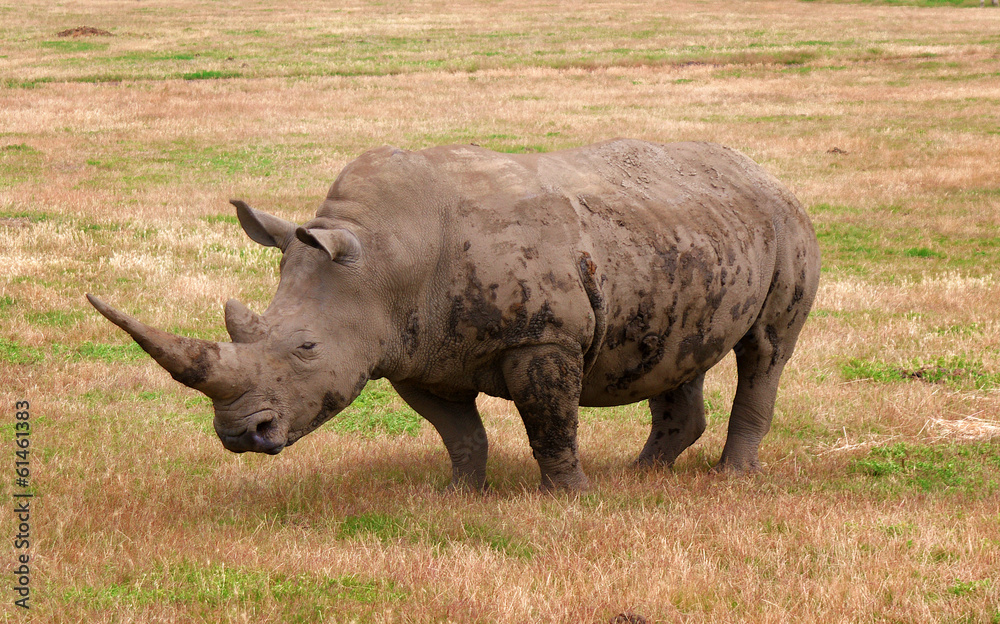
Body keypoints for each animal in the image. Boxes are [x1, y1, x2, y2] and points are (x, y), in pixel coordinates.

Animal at [88, 139, 820, 492]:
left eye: (305, 349)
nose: (241, 435)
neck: (382, 258)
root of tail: (763, 170)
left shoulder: (543, 337)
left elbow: (551, 426)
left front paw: (572, 499)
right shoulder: (415, 352)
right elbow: (459, 434)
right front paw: (459, 496)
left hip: (785, 223)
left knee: (766, 349)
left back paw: (729, 479)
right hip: (684, 237)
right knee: (679, 349)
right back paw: (643, 478)